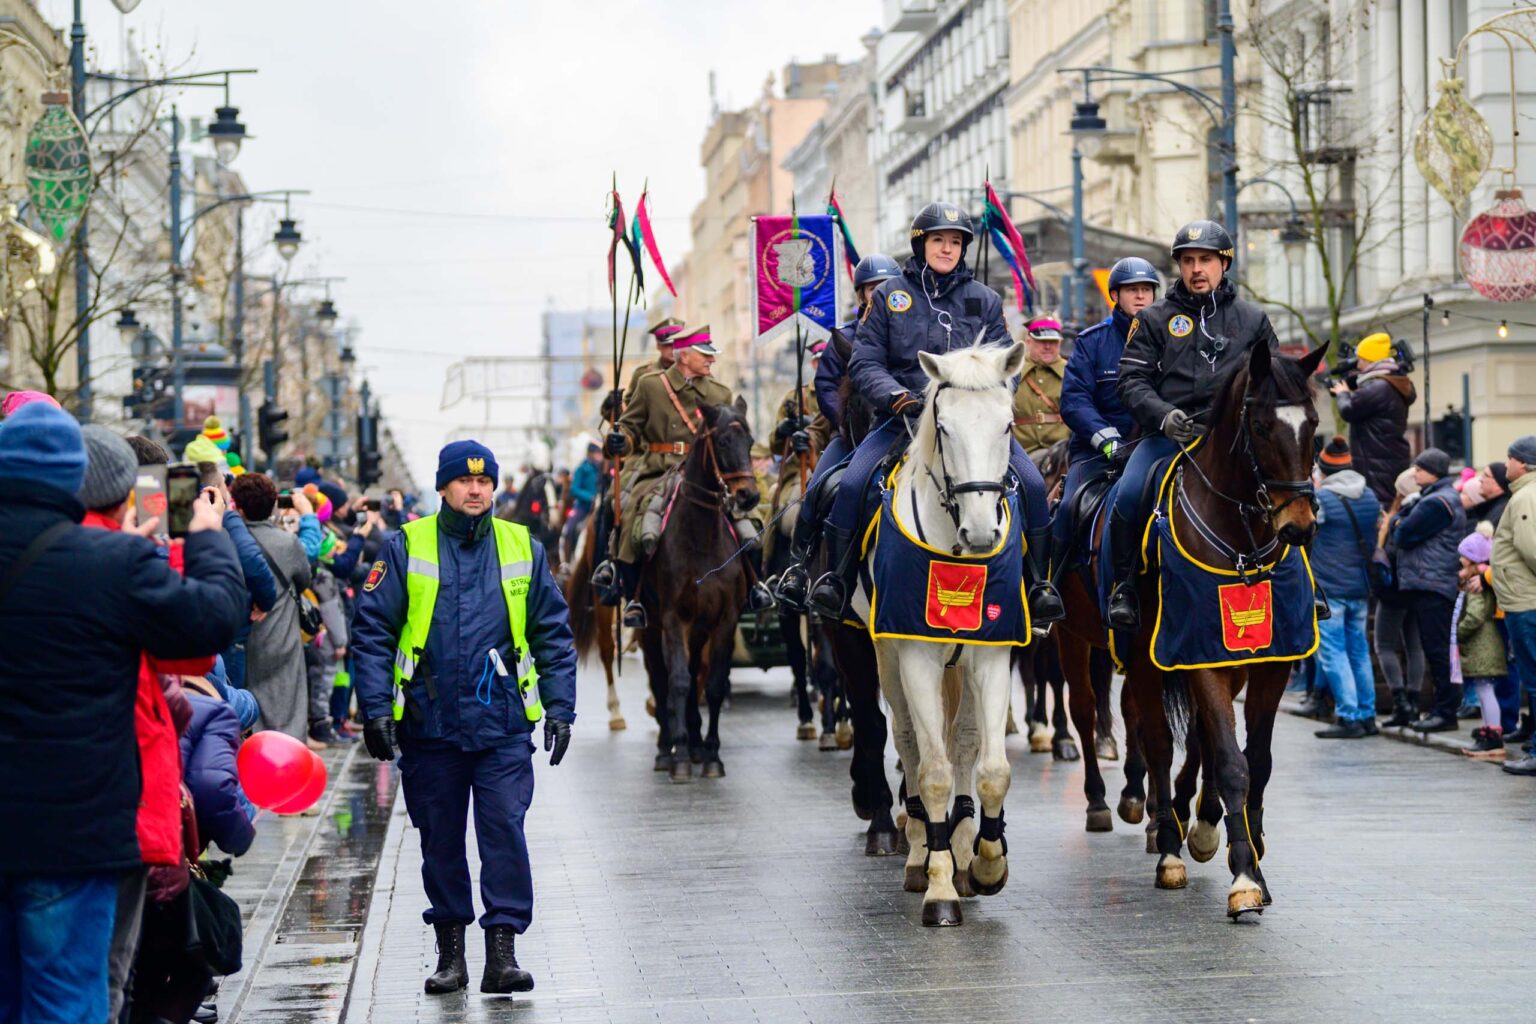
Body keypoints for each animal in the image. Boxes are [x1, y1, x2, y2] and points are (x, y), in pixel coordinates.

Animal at [632, 396, 758, 779]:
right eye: (723, 442)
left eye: (750, 441)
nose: (749, 496)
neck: (701, 538)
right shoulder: (674, 620)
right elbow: (677, 682)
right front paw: (681, 756)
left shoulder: (724, 620)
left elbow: (713, 686)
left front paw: (711, 754)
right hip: (650, 628)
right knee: (662, 680)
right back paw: (667, 748)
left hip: (700, 630)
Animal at [854, 342, 1032, 927]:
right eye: (945, 428)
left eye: (1006, 425)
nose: (981, 532)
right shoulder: (916, 660)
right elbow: (931, 770)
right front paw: (938, 889)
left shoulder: (991, 657)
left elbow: (989, 766)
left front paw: (985, 865)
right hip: (887, 659)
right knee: (910, 743)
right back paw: (919, 853)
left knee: (964, 744)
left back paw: (959, 848)